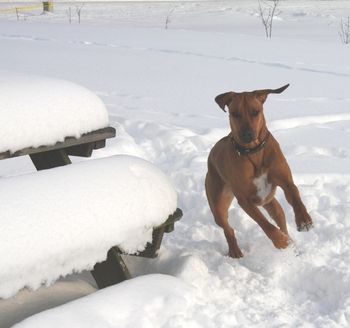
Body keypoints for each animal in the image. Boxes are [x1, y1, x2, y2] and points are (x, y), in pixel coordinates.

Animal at [204, 85, 314, 258]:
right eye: (235, 113)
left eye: (255, 112)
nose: (247, 134)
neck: (253, 152)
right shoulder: (245, 200)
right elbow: (265, 224)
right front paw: (279, 242)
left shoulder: (286, 181)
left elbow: (295, 197)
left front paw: (303, 220)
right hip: (217, 204)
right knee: (228, 229)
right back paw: (235, 251)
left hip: (271, 203)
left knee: (282, 222)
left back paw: (292, 246)